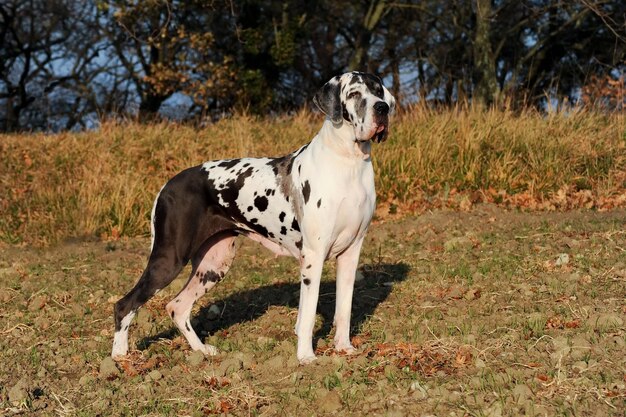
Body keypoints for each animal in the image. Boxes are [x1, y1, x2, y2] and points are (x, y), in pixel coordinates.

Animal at [112, 71, 394, 364]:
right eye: (354, 94)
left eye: (378, 91)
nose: (382, 109)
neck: (348, 163)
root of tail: (166, 186)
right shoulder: (313, 256)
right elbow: (307, 315)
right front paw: (306, 357)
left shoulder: (350, 254)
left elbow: (344, 309)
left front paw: (344, 348)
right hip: (169, 259)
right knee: (125, 304)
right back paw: (120, 357)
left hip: (214, 264)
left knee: (177, 306)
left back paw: (202, 350)